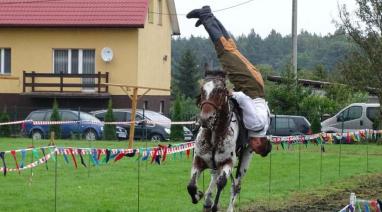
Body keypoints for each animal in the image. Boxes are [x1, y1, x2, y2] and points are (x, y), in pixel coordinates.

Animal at [187, 71, 255, 212]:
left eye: (219, 91)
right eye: (202, 90)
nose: (205, 118)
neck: (214, 136)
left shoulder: (227, 162)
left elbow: (221, 183)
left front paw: (214, 205)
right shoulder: (199, 160)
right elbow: (191, 185)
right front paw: (199, 195)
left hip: (246, 157)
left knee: (236, 186)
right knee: (214, 177)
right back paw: (207, 199)